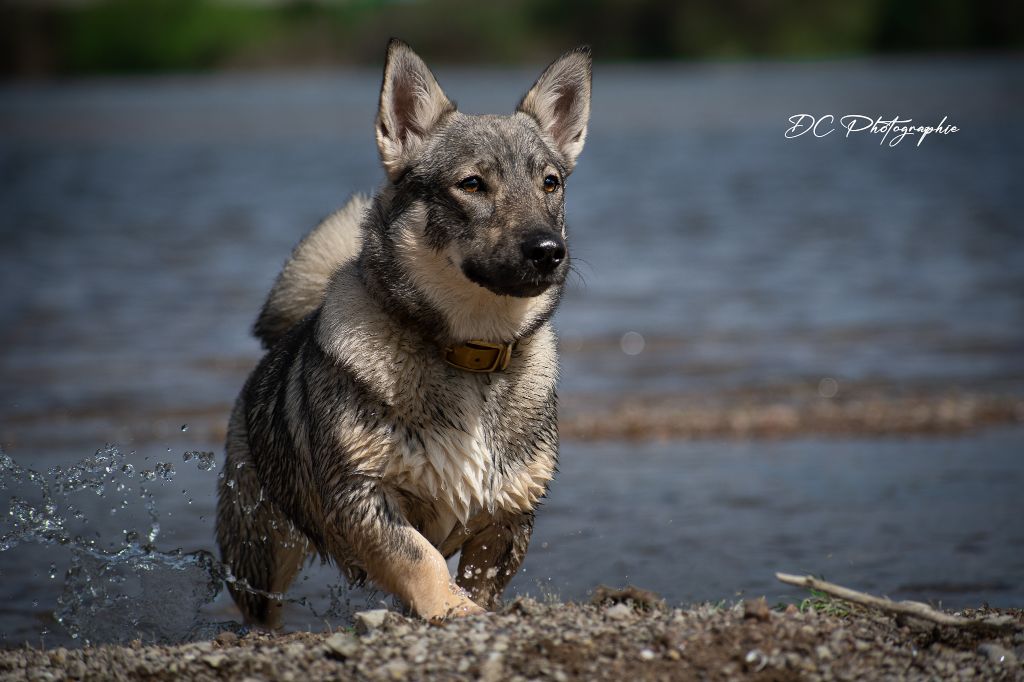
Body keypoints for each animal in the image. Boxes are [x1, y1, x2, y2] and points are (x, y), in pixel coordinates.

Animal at [216, 35, 593, 622]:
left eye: (549, 183)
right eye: (471, 185)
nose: (549, 251)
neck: (470, 353)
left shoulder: (508, 515)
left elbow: (476, 577)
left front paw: (470, 608)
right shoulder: (362, 497)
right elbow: (421, 560)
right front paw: (453, 611)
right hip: (260, 551)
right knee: (263, 615)